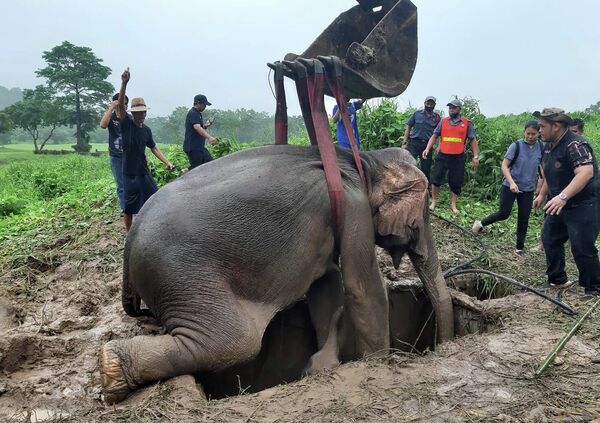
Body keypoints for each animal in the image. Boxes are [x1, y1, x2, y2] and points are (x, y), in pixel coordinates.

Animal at [99, 144, 454, 402]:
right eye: (420, 219)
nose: (443, 346)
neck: (364, 161)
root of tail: (128, 247)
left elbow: (326, 282)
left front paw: (323, 364)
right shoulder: (354, 207)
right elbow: (360, 286)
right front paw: (379, 363)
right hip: (180, 274)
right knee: (235, 341)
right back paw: (111, 368)